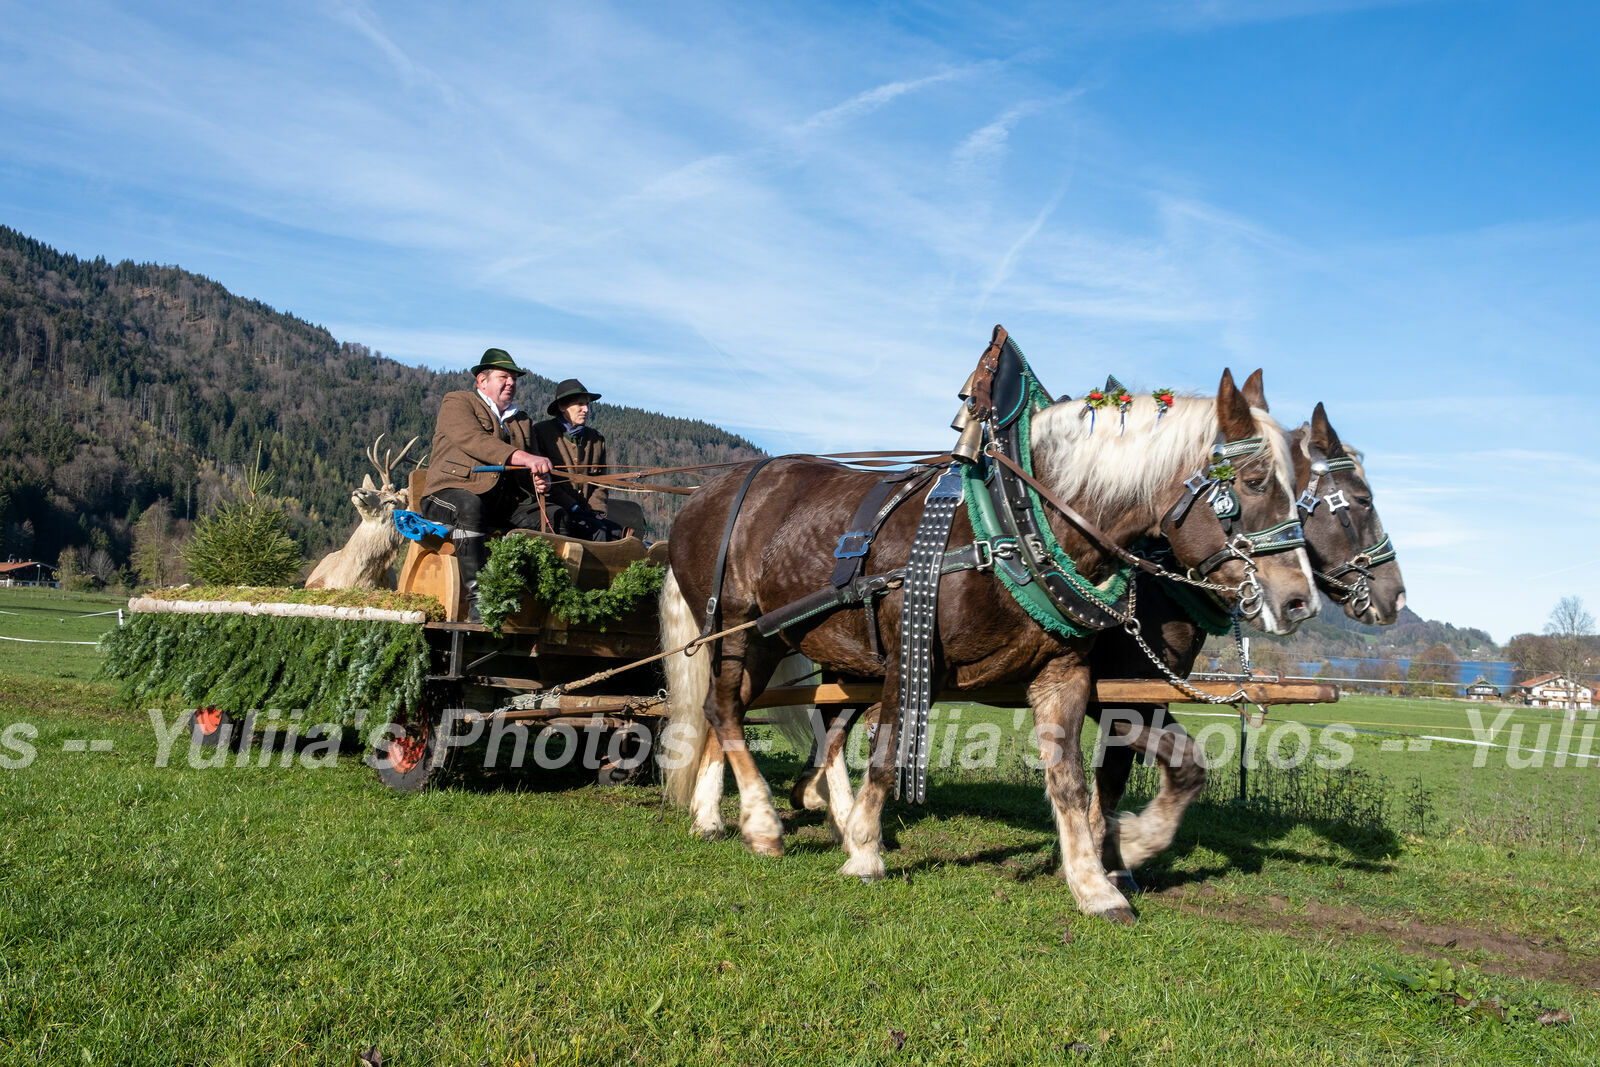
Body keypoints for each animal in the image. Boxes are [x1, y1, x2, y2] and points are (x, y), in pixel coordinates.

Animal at [659, 364, 1312, 921]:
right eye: (1254, 482)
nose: (1299, 600)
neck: (1012, 527)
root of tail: (708, 493)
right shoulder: (908, 657)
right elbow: (886, 753)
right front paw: (866, 853)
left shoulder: (1066, 675)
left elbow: (1078, 779)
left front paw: (1099, 878)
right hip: (741, 628)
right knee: (726, 707)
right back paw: (762, 823)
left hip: (810, 647)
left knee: (741, 711)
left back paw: (720, 816)